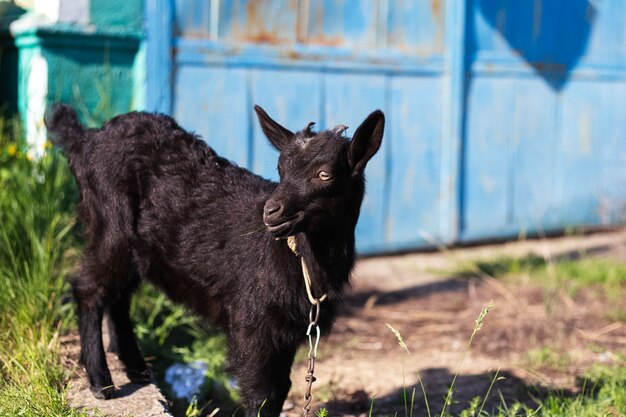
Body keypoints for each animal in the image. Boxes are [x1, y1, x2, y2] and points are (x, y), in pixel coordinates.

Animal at [46, 103, 382, 416]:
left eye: (325, 174)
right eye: (281, 168)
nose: (271, 212)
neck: (299, 260)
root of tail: (86, 139)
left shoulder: (285, 331)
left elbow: (281, 389)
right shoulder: (251, 324)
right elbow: (262, 394)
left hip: (135, 248)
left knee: (119, 294)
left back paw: (136, 368)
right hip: (110, 225)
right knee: (89, 288)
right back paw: (101, 382)